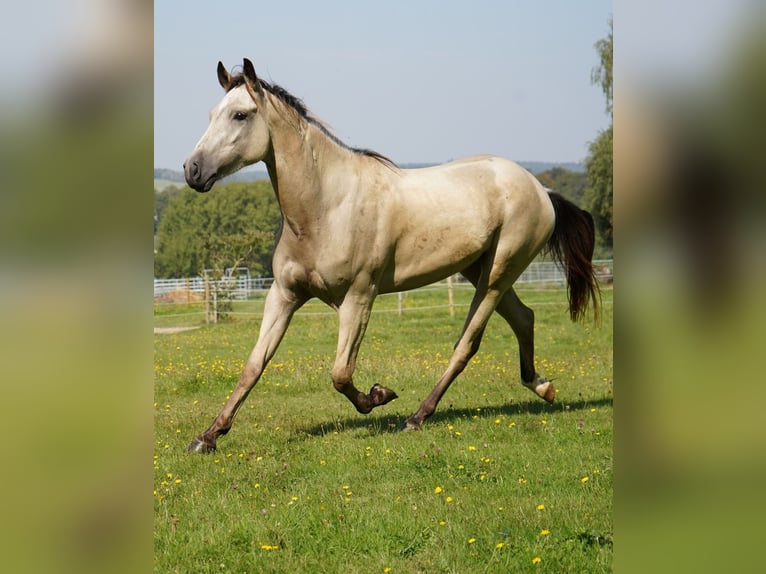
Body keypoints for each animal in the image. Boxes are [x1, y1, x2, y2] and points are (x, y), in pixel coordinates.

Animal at [184, 58, 600, 454]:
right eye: (211, 114)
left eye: (240, 115)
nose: (193, 170)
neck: (326, 206)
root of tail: (542, 190)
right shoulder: (284, 295)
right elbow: (254, 366)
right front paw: (207, 437)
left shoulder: (358, 298)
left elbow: (341, 374)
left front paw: (379, 395)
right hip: (479, 269)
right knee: (524, 318)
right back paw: (542, 386)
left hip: (497, 275)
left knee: (467, 344)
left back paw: (417, 417)